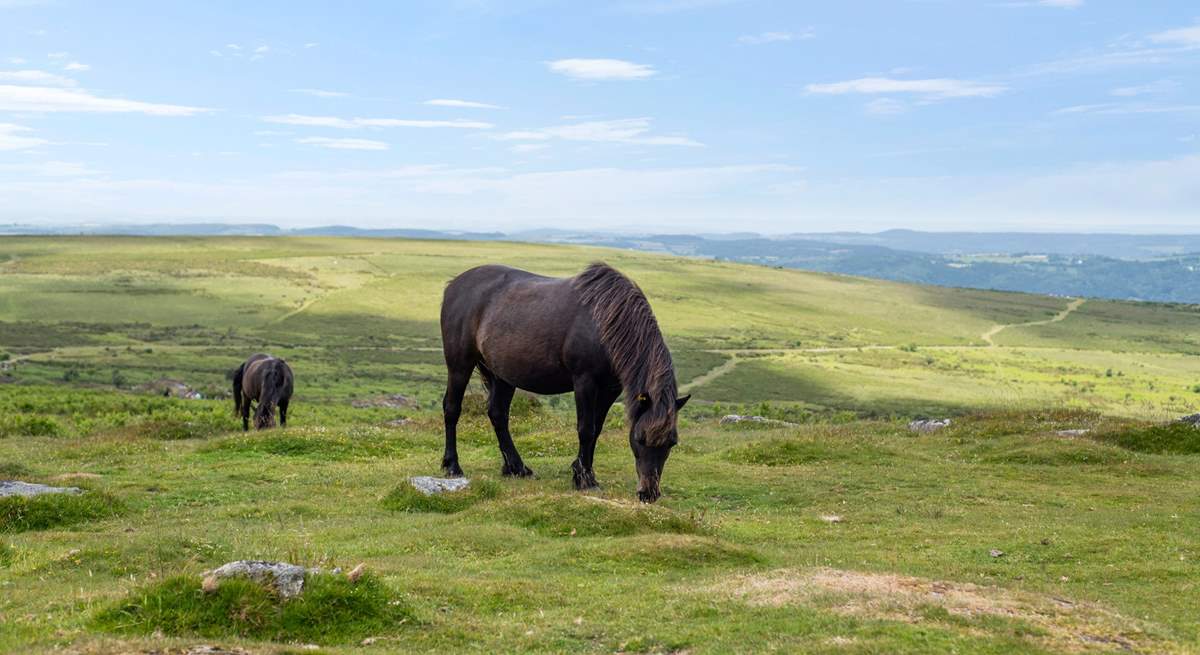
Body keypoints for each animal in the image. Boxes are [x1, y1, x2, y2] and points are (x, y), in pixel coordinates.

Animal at [441, 260, 691, 499]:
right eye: (640, 438)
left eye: (672, 442)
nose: (649, 494)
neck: (606, 322)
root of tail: (453, 285)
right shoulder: (584, 382)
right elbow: (586, 429)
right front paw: (585, 480)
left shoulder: (610, 389)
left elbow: (597, 429)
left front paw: (583, 472)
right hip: (460, 365)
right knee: (452, 408)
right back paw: (453, 466)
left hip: (502, 375)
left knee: (498, 414)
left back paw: (516, 467)